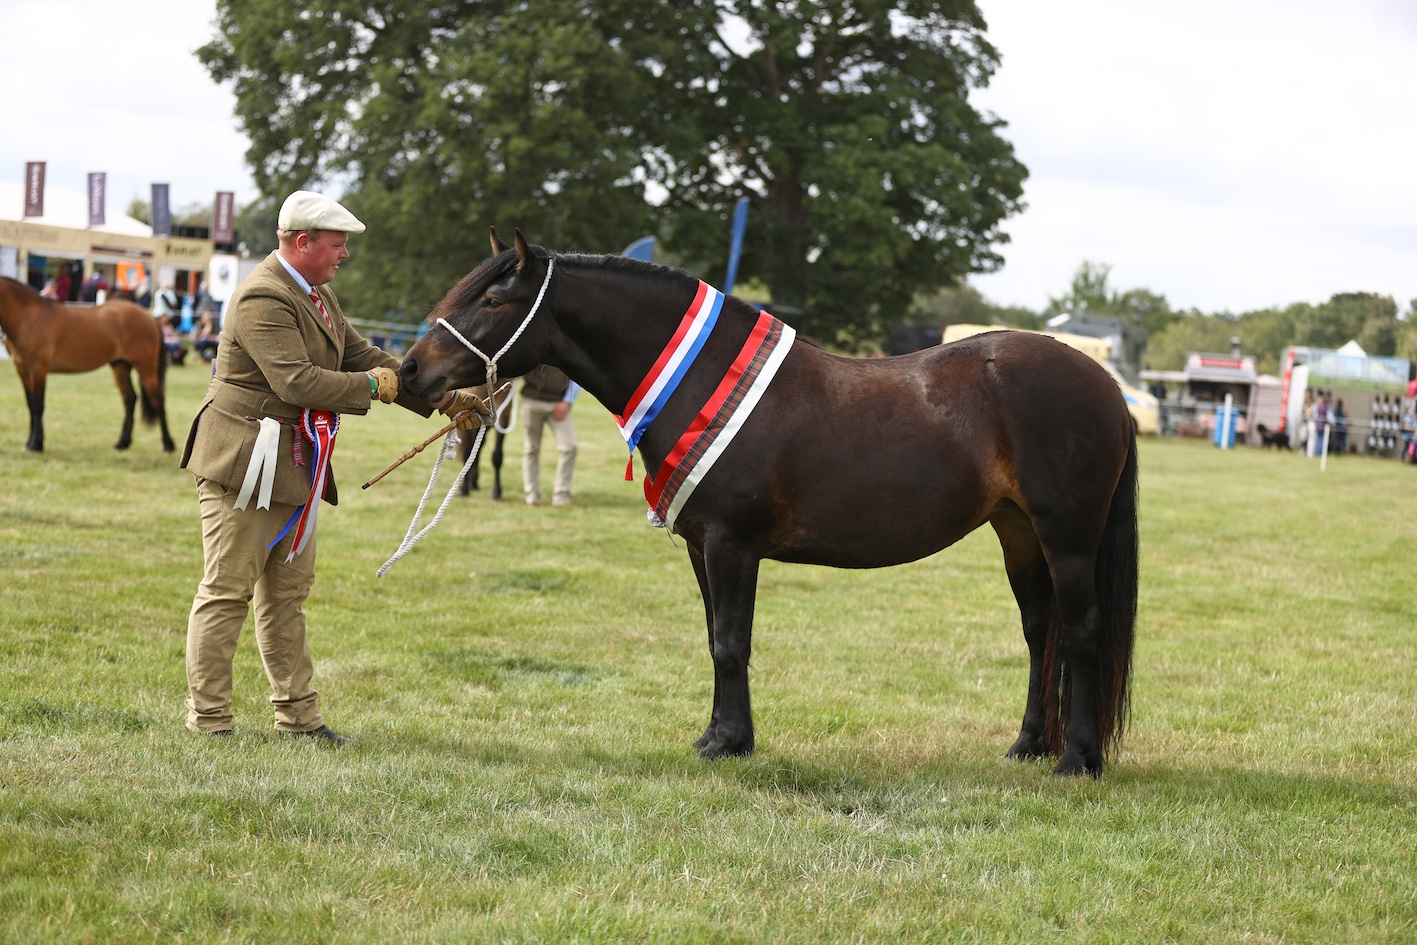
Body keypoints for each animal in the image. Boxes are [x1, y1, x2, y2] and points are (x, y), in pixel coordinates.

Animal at [0, 276, 175, 454]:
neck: (28, 318)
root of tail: (150, 318)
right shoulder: (22, 370)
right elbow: (31, 406)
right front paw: (31, 443)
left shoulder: (38, 370)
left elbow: (38, 406)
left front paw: (36, 445)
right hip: (121, 366)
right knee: (130, 399)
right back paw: (122, 443)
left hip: (146, 369)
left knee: (158, 401)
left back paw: (168, 445)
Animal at [400, 231, 1139, 777]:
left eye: (495, 298)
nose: (410, 370)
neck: (699, 376)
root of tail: (1102, 381)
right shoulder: (702, 544)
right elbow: (713, 638)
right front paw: (716, 736)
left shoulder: (733, 543)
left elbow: (731, 642)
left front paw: (729, 744)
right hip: (1017, 531)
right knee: (1039, 632)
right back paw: (1026, 746)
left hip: (1068, 536)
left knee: (1080, 632)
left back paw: (1076, 760)